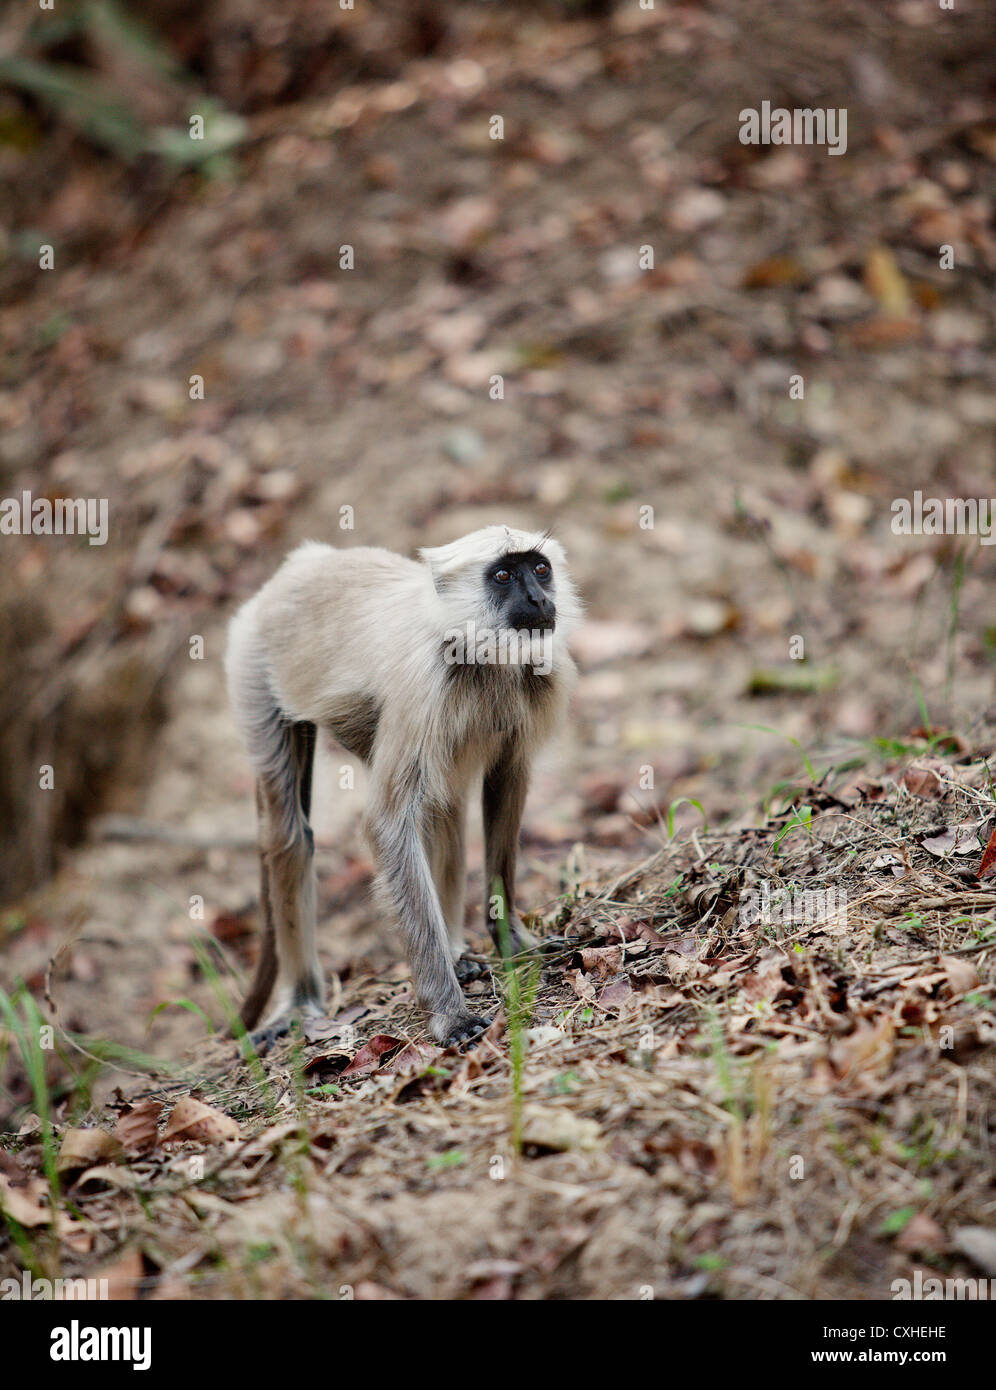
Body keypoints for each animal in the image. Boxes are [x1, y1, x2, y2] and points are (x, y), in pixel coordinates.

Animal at [223, 525, 583, 1045]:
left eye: (539, 569)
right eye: (503, 576)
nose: (538, 598)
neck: (475, 647)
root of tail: (301, 564)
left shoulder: (540, 674)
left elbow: (504, 784)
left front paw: (511, 941)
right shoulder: (426, 685)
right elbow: (389, 824)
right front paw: (450, 1013)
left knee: (443, 807)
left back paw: (456, 952)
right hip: (253, 662)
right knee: (291, 835)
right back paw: (301, 1001)